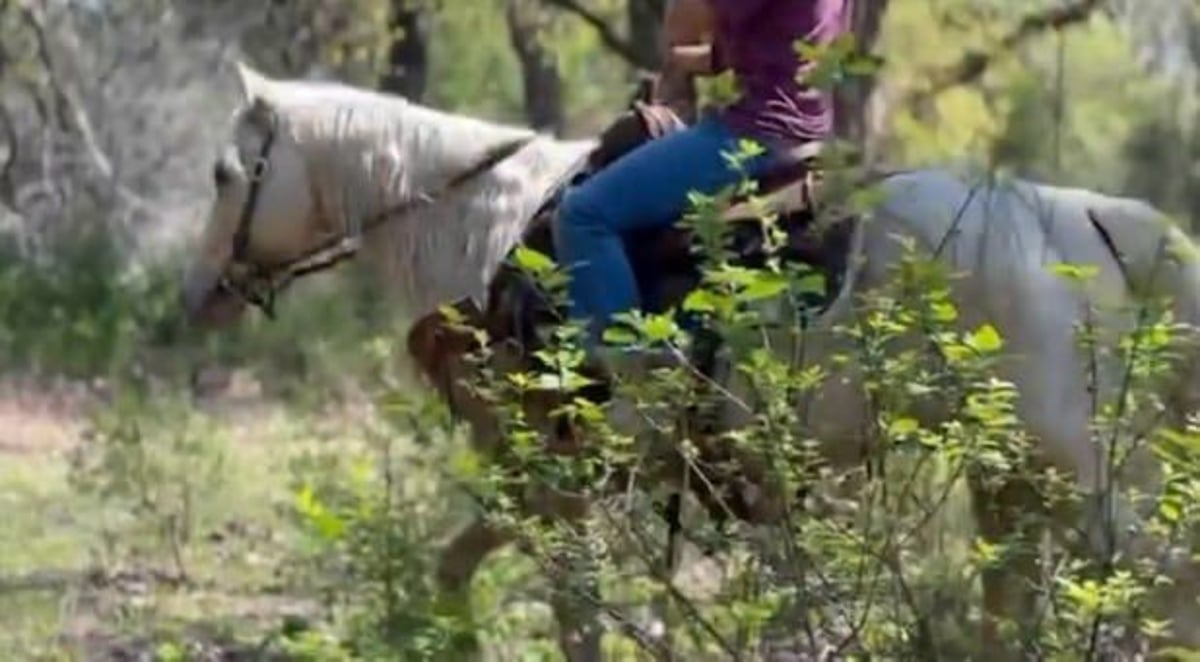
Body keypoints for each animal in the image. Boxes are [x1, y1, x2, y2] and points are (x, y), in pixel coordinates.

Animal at [181, 62, 1200, 658]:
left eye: (226, 175)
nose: (199, 296)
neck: (486, 233)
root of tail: (1084, 217)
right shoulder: (554, 483)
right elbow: (457, 570)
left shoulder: (553, 480)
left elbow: (572, 614)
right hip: (1009, 479)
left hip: (1071, 473)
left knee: (1160, 581)